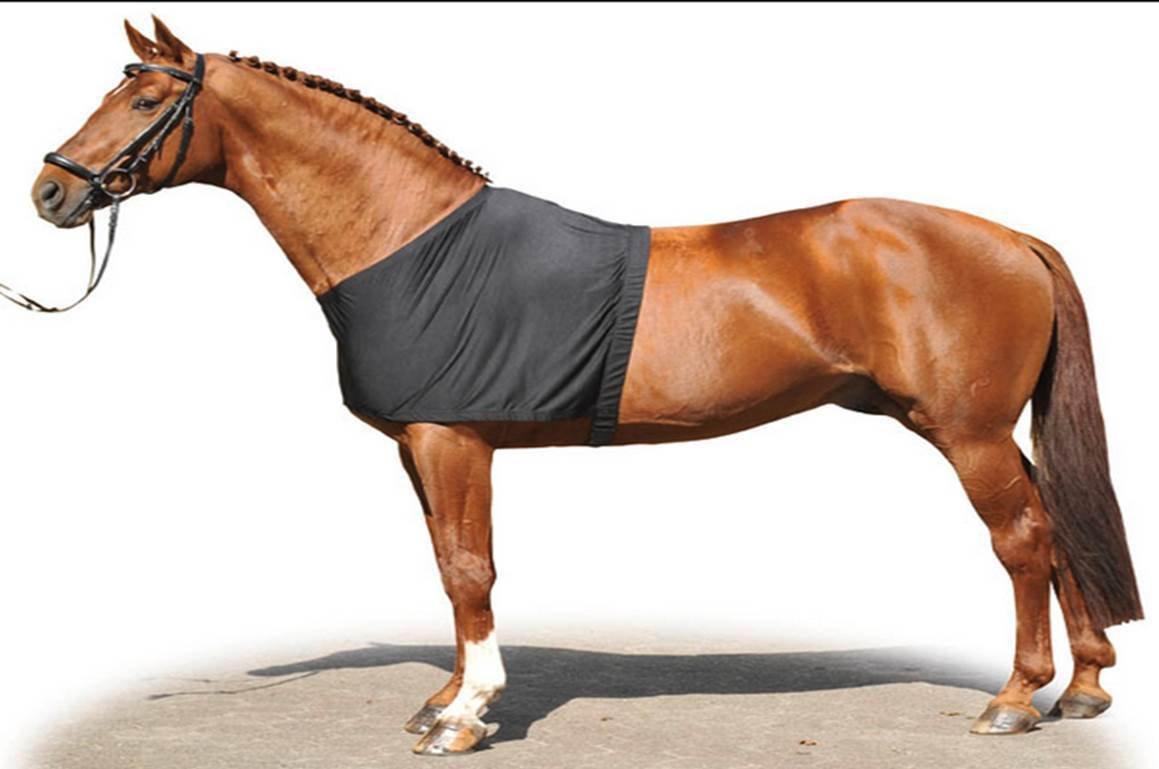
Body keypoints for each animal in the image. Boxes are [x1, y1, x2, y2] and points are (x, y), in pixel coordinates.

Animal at [21, 17, 1141, 756]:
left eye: (148, 99)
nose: (50, 191)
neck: (408, 240)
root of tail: (1010, 238)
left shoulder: (453, 438)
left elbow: (470, 570)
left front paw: (466, 715)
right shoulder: (420, 447)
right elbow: (445, 565)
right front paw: (443, 698)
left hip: (965, 431)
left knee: (1022, 540)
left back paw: (1014, 698)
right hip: (962, 426)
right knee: (1056, 527)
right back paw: (1082, 688)